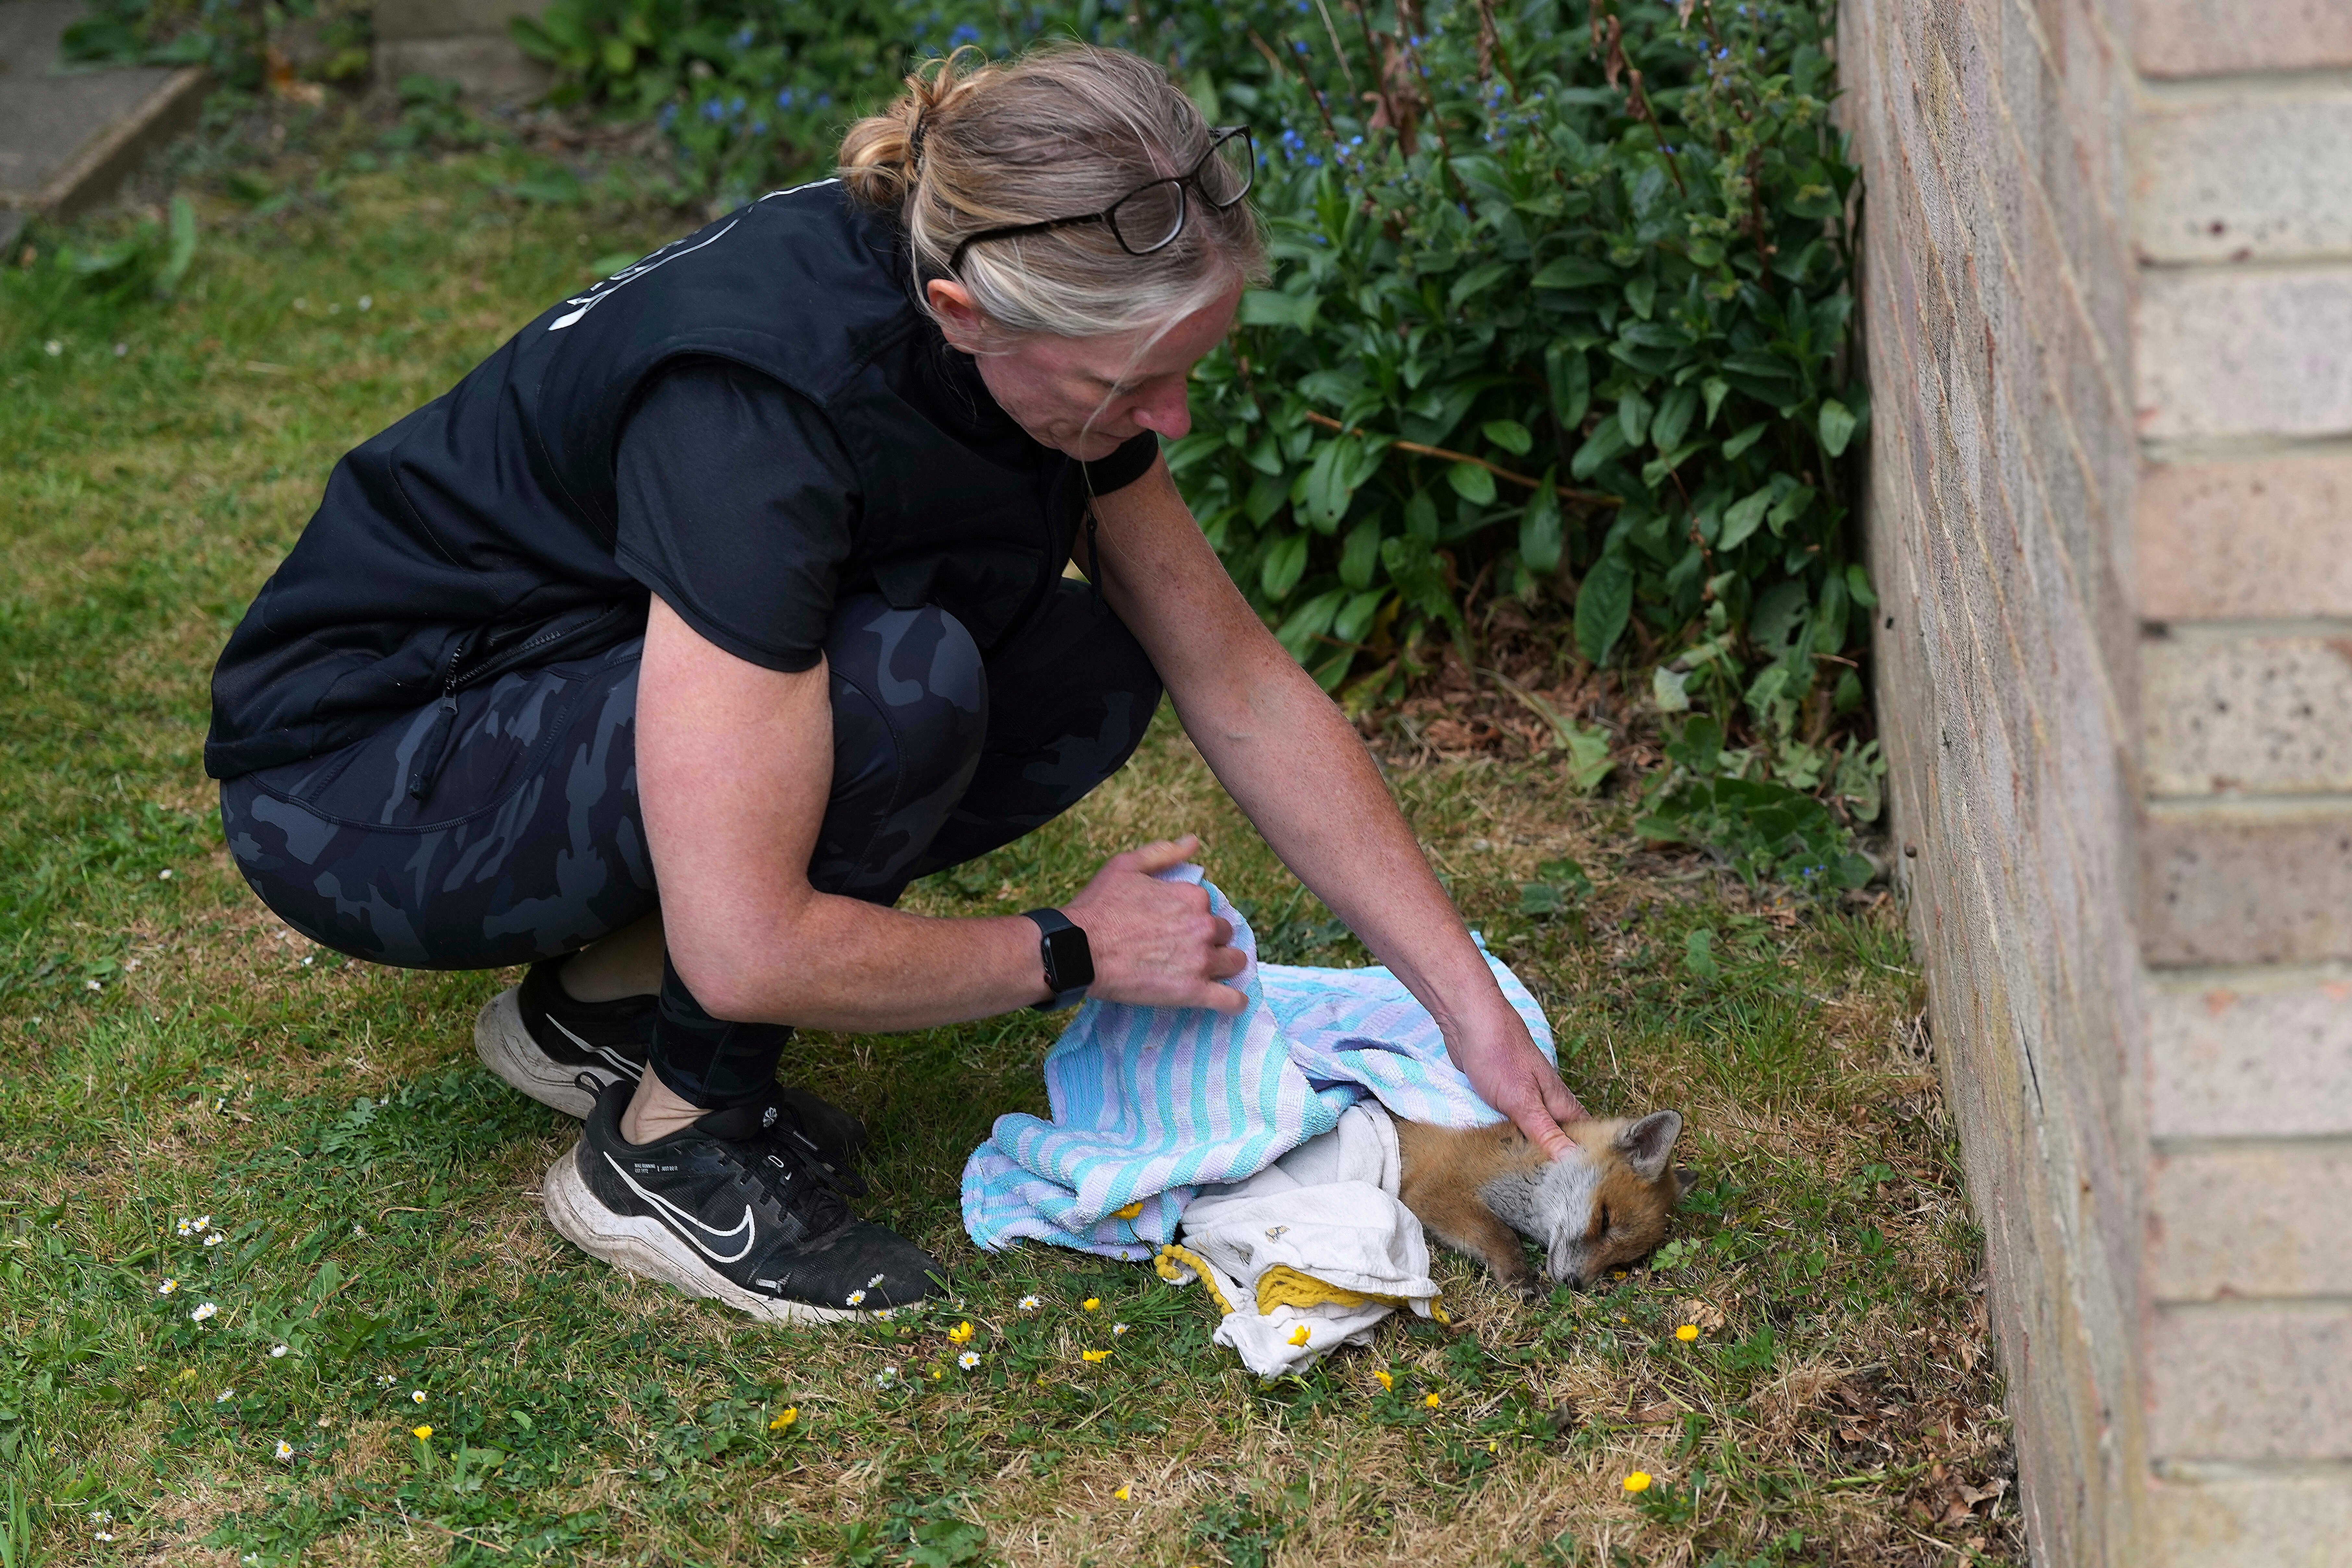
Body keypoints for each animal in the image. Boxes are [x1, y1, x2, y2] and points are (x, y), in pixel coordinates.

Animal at [1396, 1111, 1690, 1296]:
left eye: (1620, 1263)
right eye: (1605, 1219)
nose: (1574, 1284)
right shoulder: (1434, 1188)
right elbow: (1500, 1234)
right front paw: (1519, 1276)